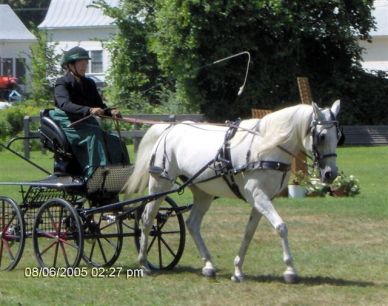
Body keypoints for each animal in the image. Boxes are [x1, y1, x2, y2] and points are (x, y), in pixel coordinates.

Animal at [126, 100, 342, 282]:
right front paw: (290, 270)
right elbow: (281, 227)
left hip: (203, 192)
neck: (266, 147)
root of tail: (169, 129)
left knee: (192, 224)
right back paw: (144, 263)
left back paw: (208, 265)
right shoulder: (258, 196)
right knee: (147, 219)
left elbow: (249, 232)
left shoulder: (263, 199)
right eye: (322, 136)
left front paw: (238, 270)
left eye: (338, 136)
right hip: (160, 185)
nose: (330, 174)